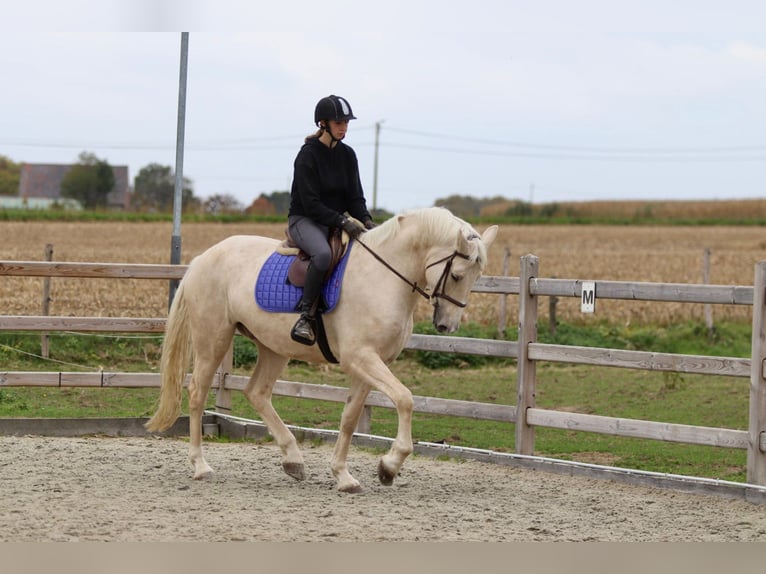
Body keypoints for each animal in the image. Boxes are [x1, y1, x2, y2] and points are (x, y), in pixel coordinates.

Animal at [145, 207, 498, 493]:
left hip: (273, 347)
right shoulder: (361, 358)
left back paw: (293, 460)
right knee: (197, 393)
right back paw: (201, 466)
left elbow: (350, 418)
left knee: (257, 392)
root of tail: (203, 259)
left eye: (477, 276)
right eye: (457, 275)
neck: (383, 277)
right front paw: (389, 466)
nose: (447, 327)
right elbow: (405, 399)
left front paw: (344, 476)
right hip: (213, 338)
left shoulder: (370, 364)